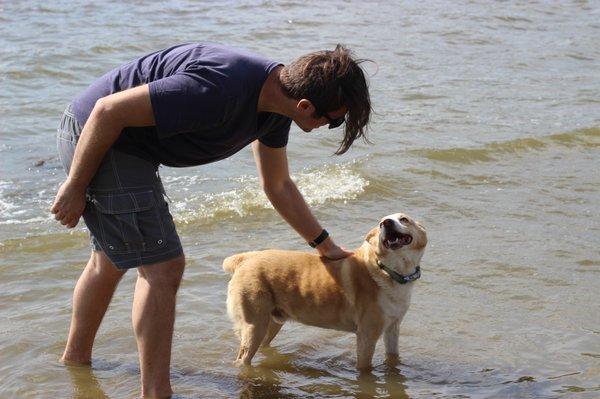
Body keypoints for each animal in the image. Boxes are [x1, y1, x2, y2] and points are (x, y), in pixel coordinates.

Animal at [224, 214, 426, 370]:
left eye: (404, 219)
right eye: (380, 223)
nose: (386, 223)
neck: (388, 271)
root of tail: (245, 259)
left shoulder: (393, 328)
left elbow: (393, 357)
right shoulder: (366, 336)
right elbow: (365, 369)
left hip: (272, 323)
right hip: (254, 326)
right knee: (242, 359)